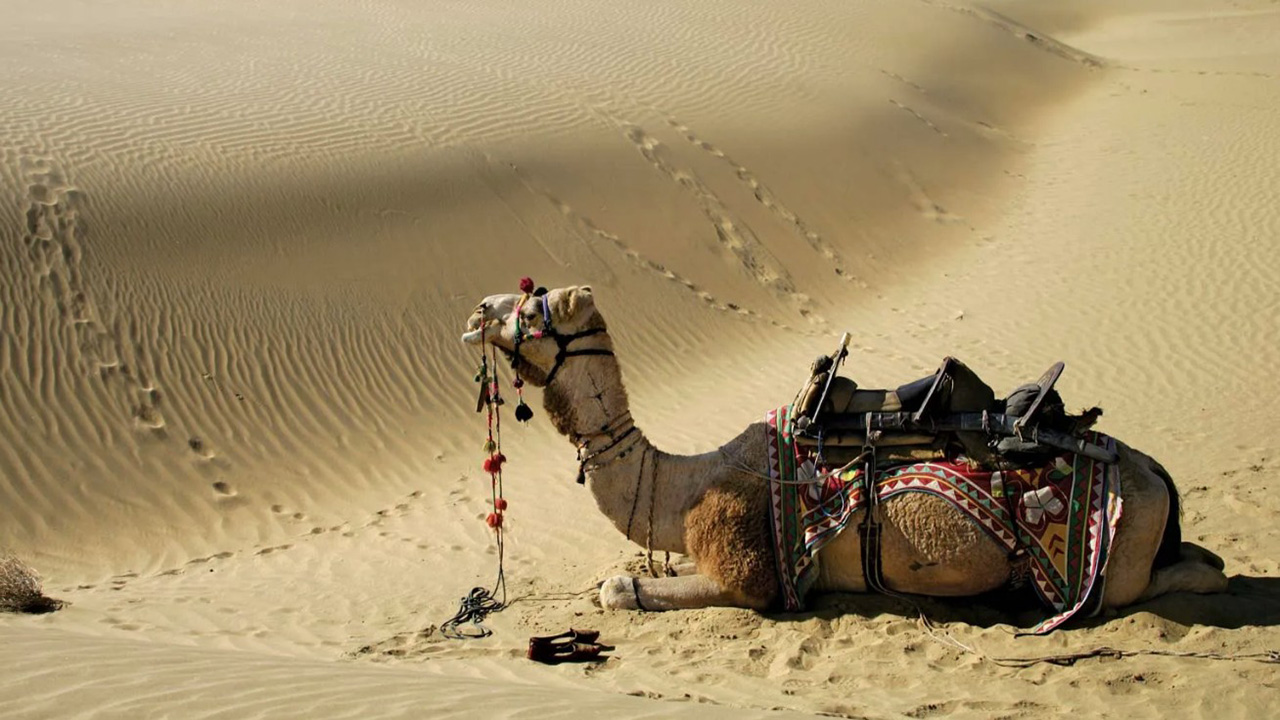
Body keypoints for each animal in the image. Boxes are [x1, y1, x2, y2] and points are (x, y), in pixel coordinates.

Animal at [462, 285, 1228, 619]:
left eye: (529, 308)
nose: (473, 312)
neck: (686, 485)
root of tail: (1154, 473)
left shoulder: (752, 576)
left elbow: (618, 589)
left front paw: (624, 586)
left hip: (1119, 560)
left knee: (1190, 577)